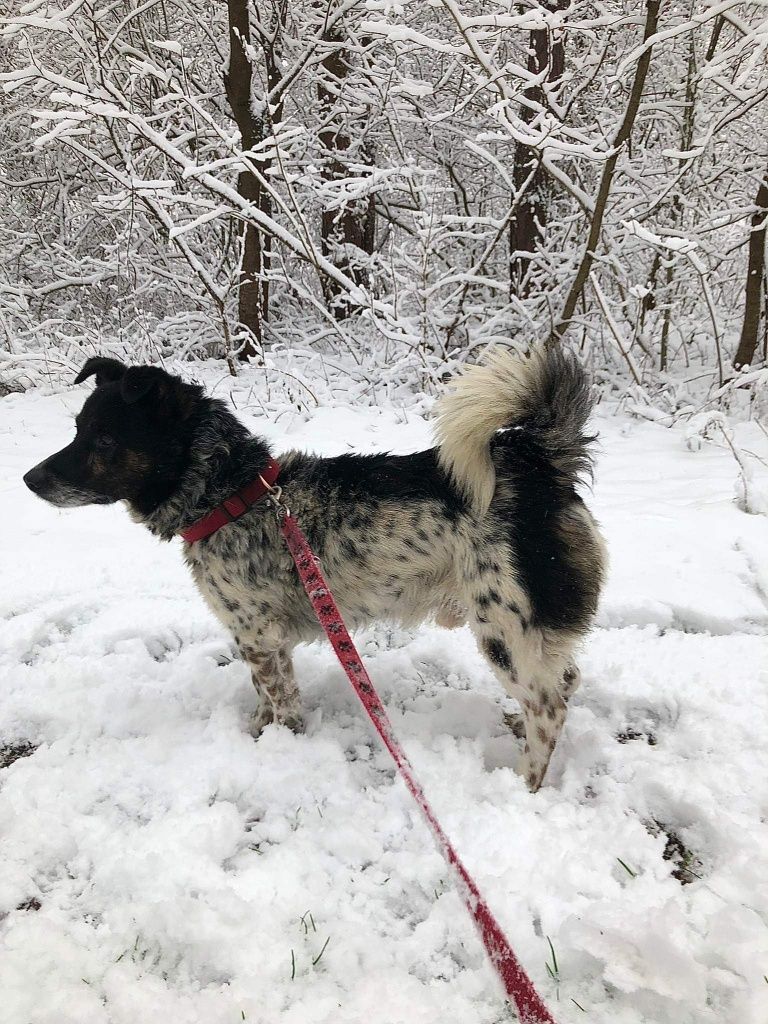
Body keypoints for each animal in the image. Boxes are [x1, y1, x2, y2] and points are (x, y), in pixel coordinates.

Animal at [22, 348, 606, 786]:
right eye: (77, 428)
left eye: (104, 439)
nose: (28, 479)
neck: (230, 495)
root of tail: (541, 464)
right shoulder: (266, 638)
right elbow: (267, 694)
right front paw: (259, 733)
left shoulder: (257, 633)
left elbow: (280, 700)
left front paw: (281, 746)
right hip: (533, 634)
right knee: (566, 680)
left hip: (504, 626)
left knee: (549, 706)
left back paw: (523, 783)